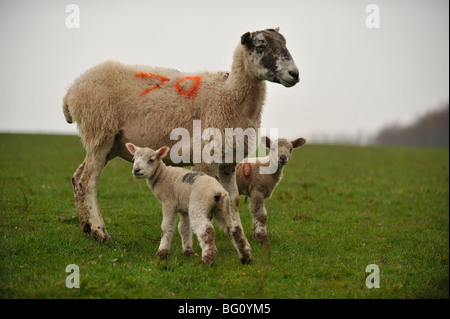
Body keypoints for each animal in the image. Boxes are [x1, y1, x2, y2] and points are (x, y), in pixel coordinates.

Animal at [62, 28, 298, 242]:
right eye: (260, 46)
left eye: (285, 43)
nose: (295, 74)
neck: (229, 95)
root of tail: (71, 90)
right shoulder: (205, 156)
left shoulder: (228, 161)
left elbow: (233, 199)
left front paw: (236, 232)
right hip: (99, 130)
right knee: (88, 181)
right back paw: (100, 232)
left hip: (107, 143)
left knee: (77, 178)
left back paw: (86, 226)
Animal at [125, 144, 253, 266]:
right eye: (134, 158)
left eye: (151, 160)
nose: (136, 170)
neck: (162, 175)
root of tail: (218, 191)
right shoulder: (183, 207)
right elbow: (184, 228)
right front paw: (188, 252)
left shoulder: (169, 203)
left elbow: (166, 227)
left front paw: (161, 253)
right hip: (221, 208)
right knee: (235, 229)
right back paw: (246, 258)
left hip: (198, 205)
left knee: (206, 230)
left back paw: (208, 260)